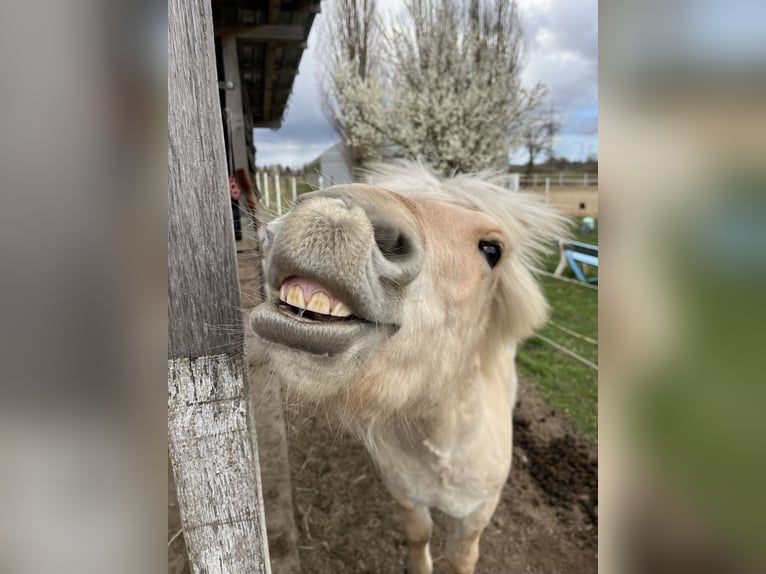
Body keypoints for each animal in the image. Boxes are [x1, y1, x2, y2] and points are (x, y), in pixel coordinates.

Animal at [249, 162, 568, 573]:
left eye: (492, 249)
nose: (333, 214)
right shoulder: (406, 494)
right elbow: (419, 537)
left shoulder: (478, 514)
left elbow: (463, 558)